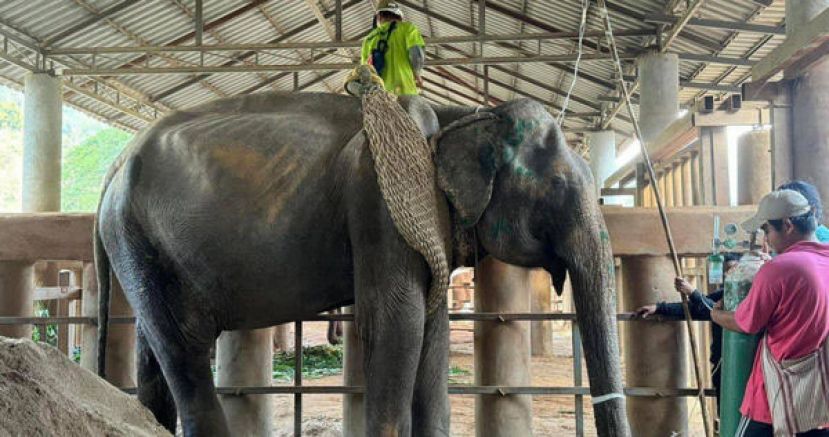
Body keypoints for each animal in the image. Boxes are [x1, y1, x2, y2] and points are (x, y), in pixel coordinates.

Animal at [94, 91, 629, 436]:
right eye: (558, 188)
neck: (464, 115)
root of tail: (112, 168)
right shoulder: (380, 200)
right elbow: (397, 324)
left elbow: (432, 333)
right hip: (134, 232)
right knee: (182, 347)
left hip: (141, 247)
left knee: (153, 350)